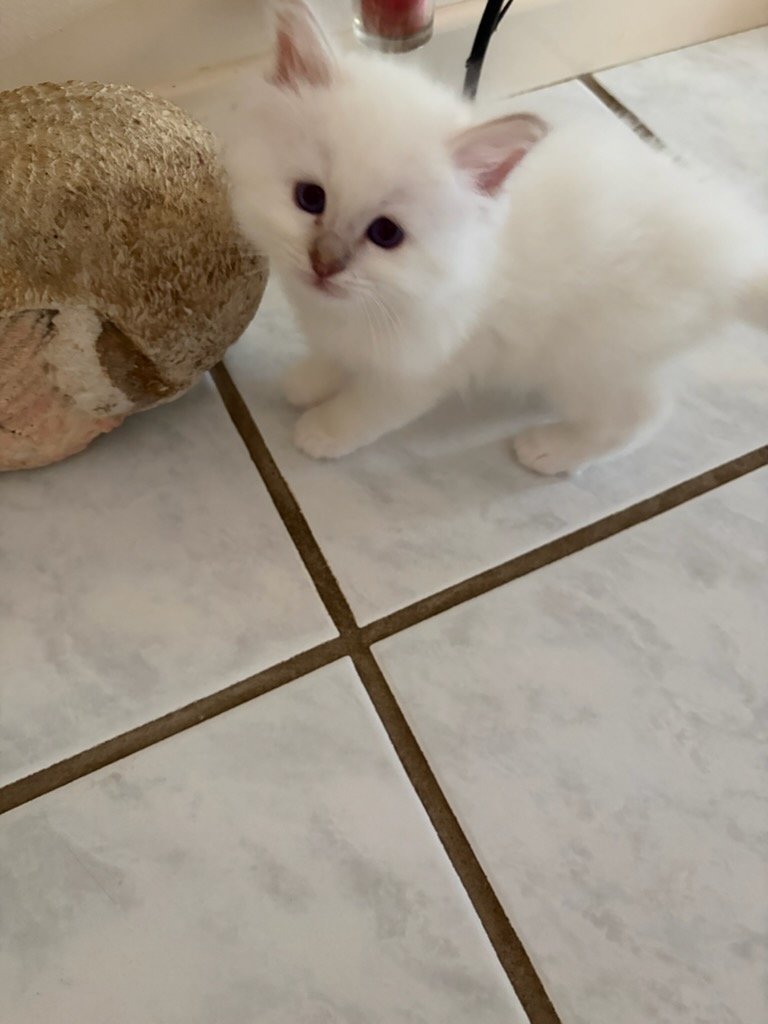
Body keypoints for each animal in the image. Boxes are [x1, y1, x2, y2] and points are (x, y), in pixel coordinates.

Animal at [216, 0, 768, 474]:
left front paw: (323, 431)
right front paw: (310, 379)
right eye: (310, 198)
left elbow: (369, 406)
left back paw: (550, 449)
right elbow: (339, 355)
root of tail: (737, 255)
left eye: (386, 234)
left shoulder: (425, 367)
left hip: (590, 359)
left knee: (642, 416)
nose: (325, 263)